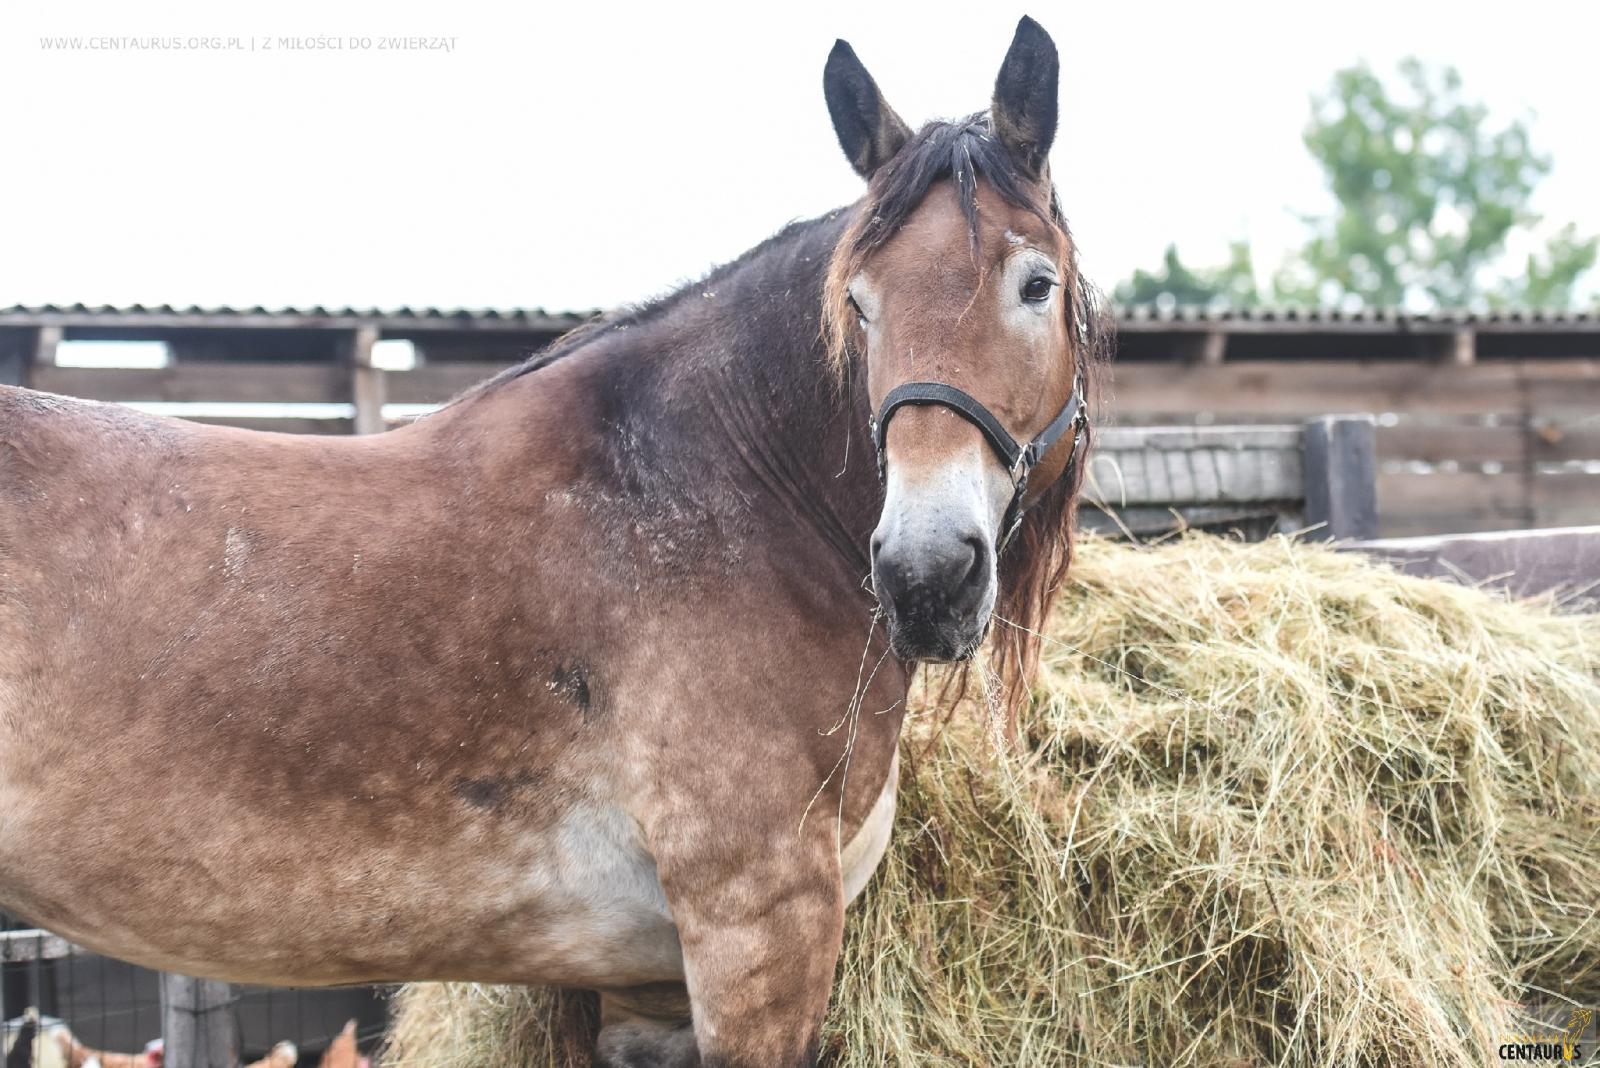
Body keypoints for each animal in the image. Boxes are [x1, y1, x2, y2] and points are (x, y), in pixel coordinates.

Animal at [0, 16, 1105, 1067]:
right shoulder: (759, 933)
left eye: (1035, 283)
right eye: (858, 304)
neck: (726, 500)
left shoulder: (652, 988)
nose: (925, 574)